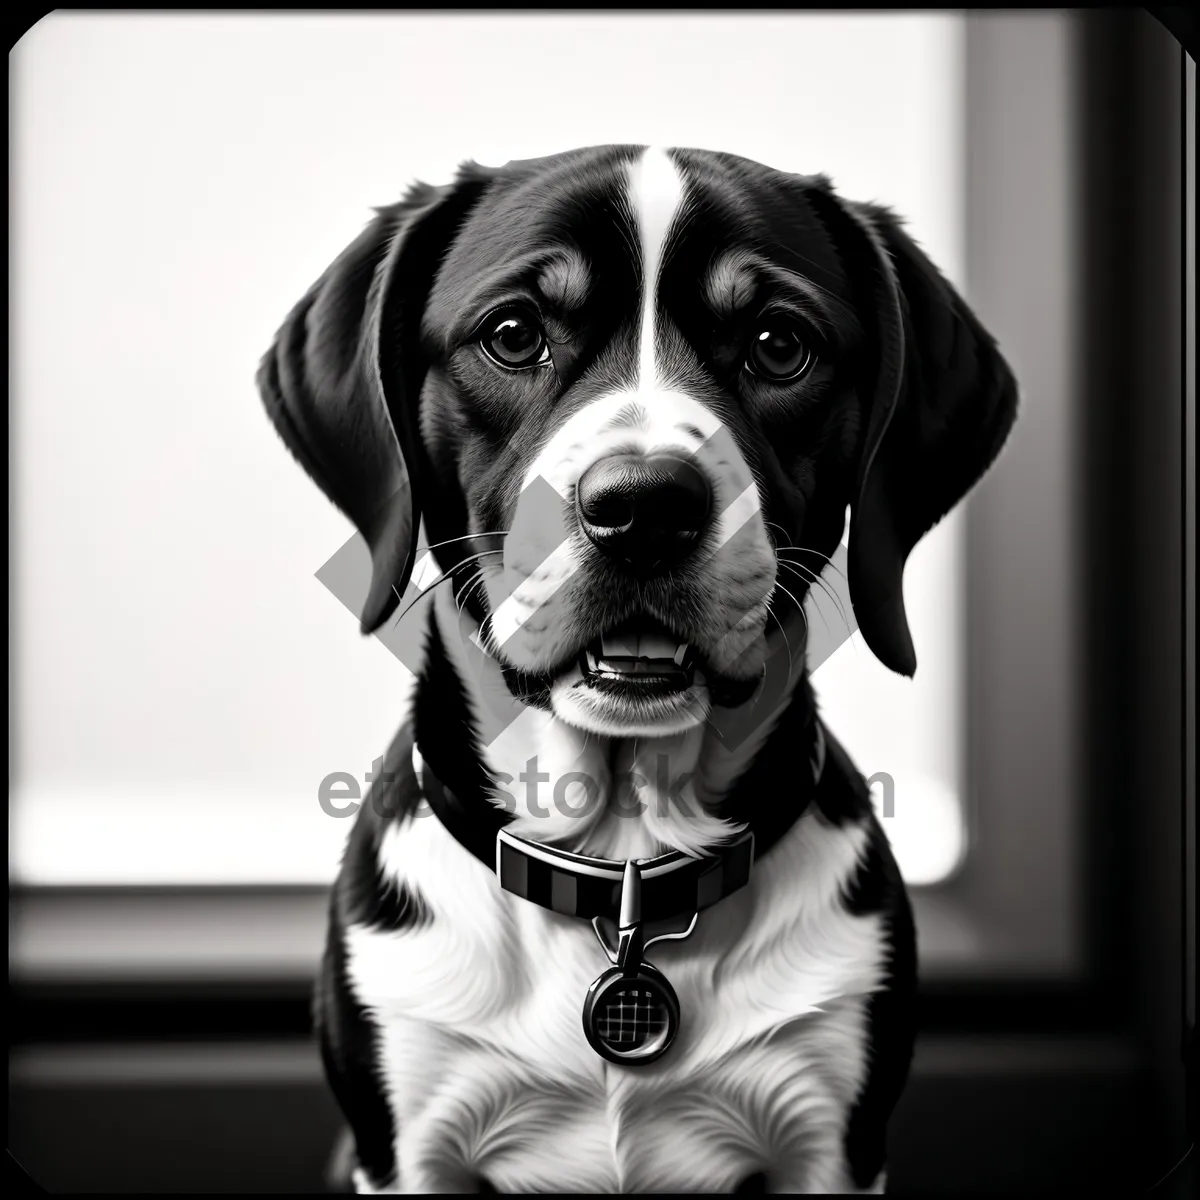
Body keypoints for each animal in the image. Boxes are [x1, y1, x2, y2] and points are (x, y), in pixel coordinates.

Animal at [258, 142, 1017, 1190]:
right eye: (513, 334)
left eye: (780, 343)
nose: (646, 506)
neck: (620, 865)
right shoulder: (404, 1149)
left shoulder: (832, 1145)